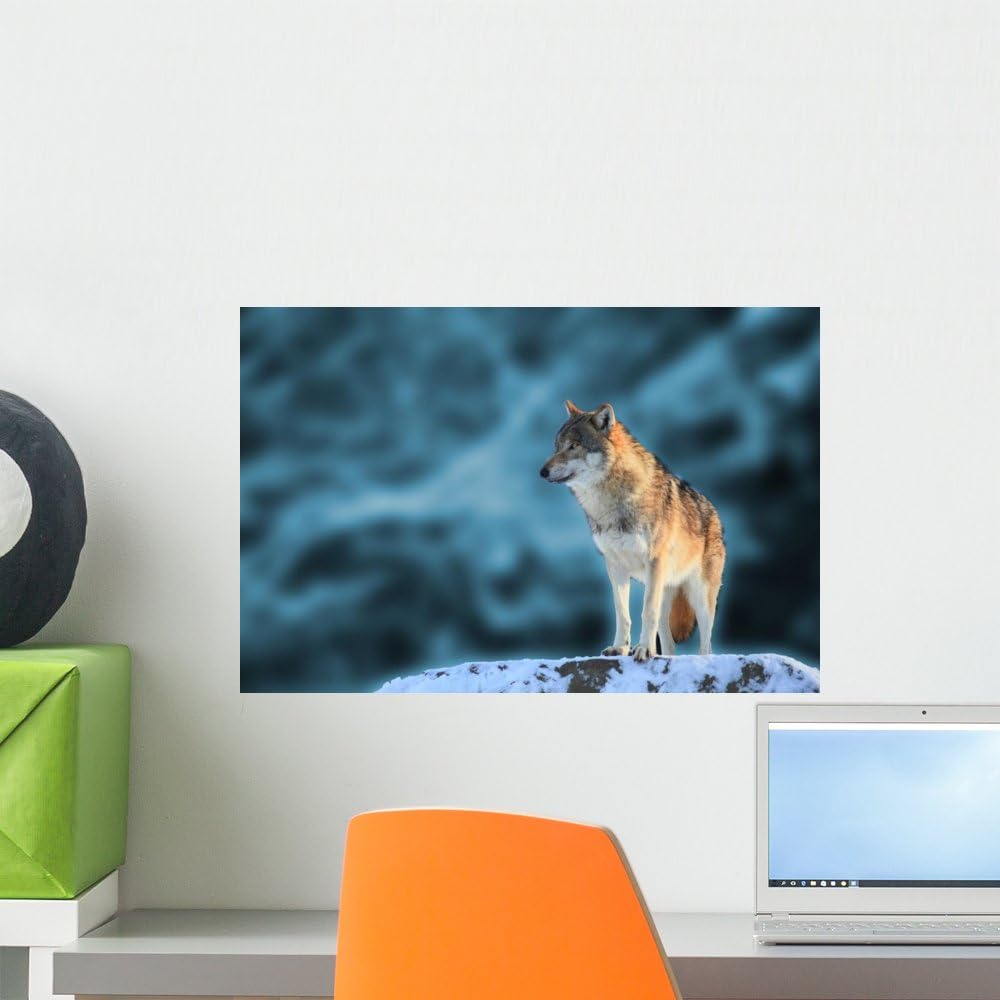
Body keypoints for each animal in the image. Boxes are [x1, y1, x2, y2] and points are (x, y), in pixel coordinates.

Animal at [540, 401, 726, 662]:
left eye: (574, 446)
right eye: (556, 446)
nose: (542, 472)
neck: (610, 502)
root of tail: (714, 512)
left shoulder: (654, 562)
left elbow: (646, 612)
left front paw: (644, 650)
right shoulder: (614, 565)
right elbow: (622, 613)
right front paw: (620, 648)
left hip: (700, 595)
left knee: (706, 644)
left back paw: (700, 661)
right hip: (667, 595)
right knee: (669, 644)